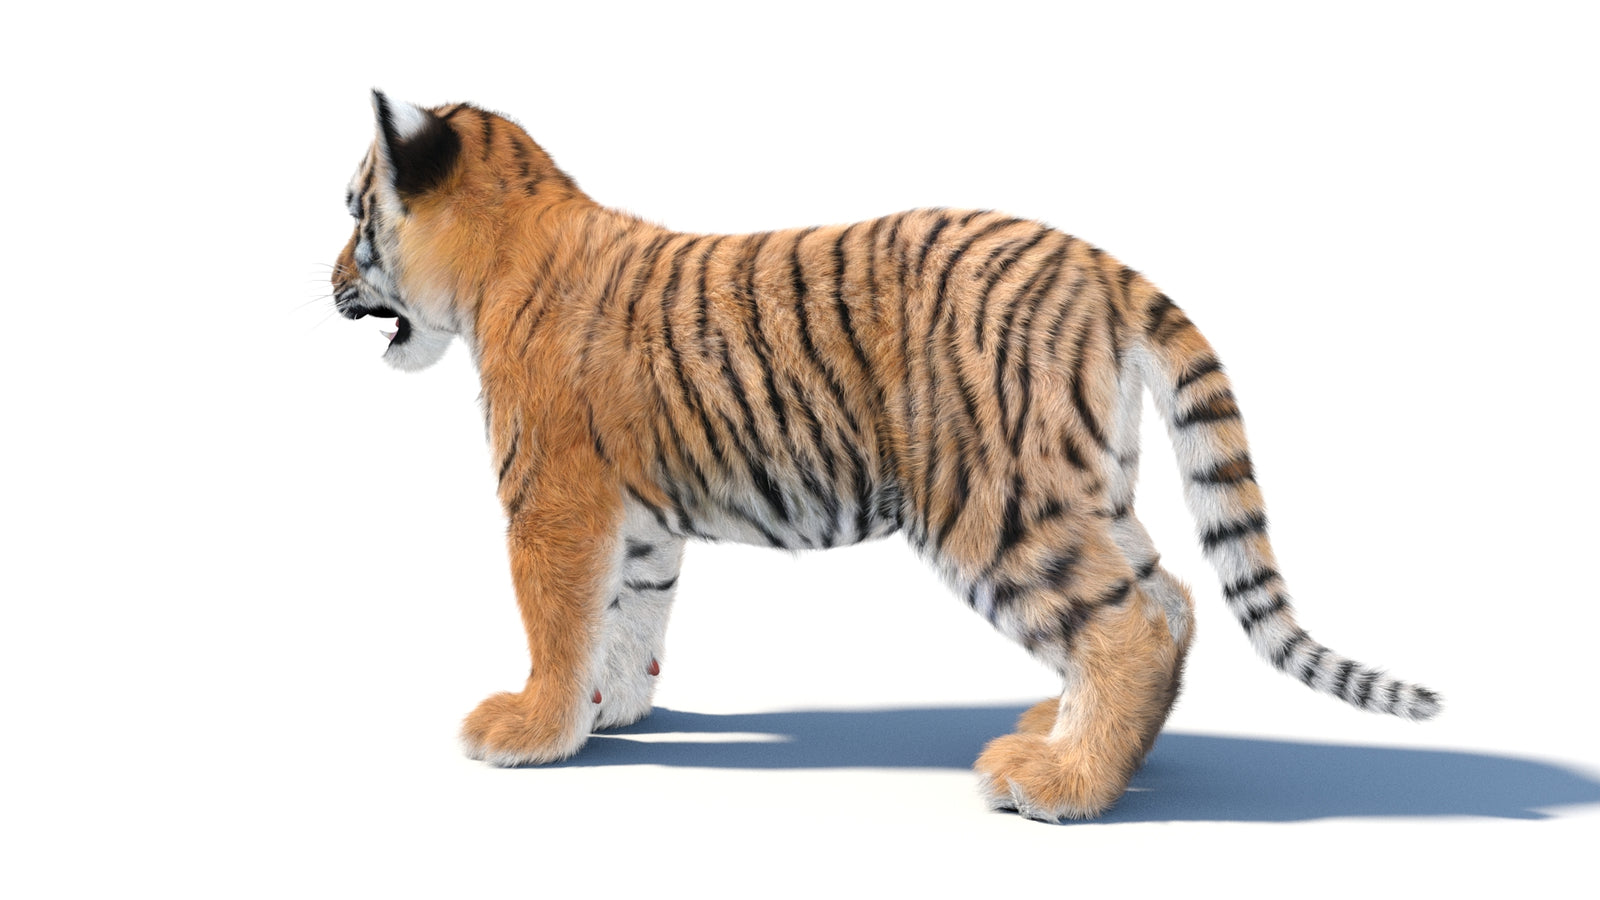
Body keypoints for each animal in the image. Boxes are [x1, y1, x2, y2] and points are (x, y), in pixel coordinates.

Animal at [330, 91, 1440, 821]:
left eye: (354, 212)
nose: (332, 278)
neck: (494, 258)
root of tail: (1099, 267)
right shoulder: (638, 519)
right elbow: (629, 617)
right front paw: (613, 713)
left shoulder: (554, 498)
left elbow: (558, 620)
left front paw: (528, 729)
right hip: (1082, 483)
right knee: (1165, 598)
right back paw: (1068, 738)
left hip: (992, 497)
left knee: (1131, 622)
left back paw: (1058, 785)